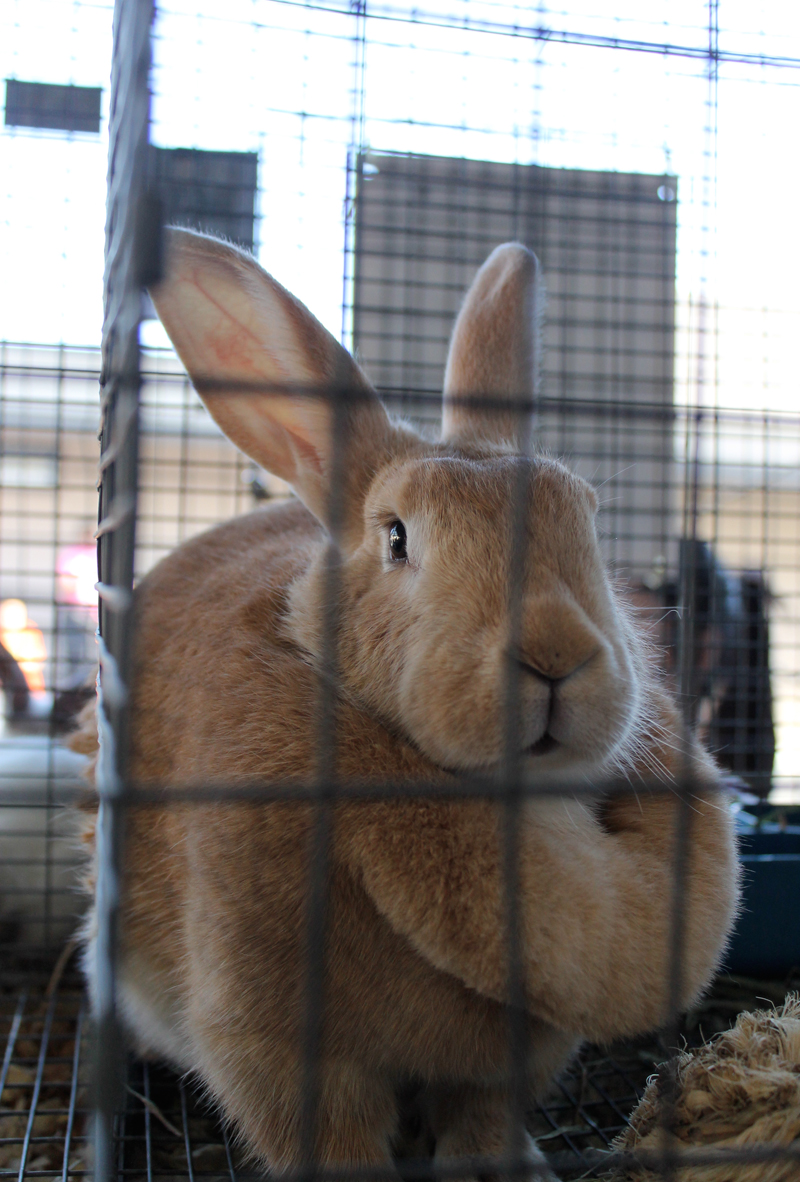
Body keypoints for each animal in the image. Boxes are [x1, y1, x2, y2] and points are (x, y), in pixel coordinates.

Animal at [77, 230, 737, 1182]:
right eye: (396, 537)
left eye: (587, 517)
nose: (555, 653)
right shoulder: (273, 1042)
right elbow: (330, 1138)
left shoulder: (512, 1062)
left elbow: (482, 1114)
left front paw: (501, 1165)